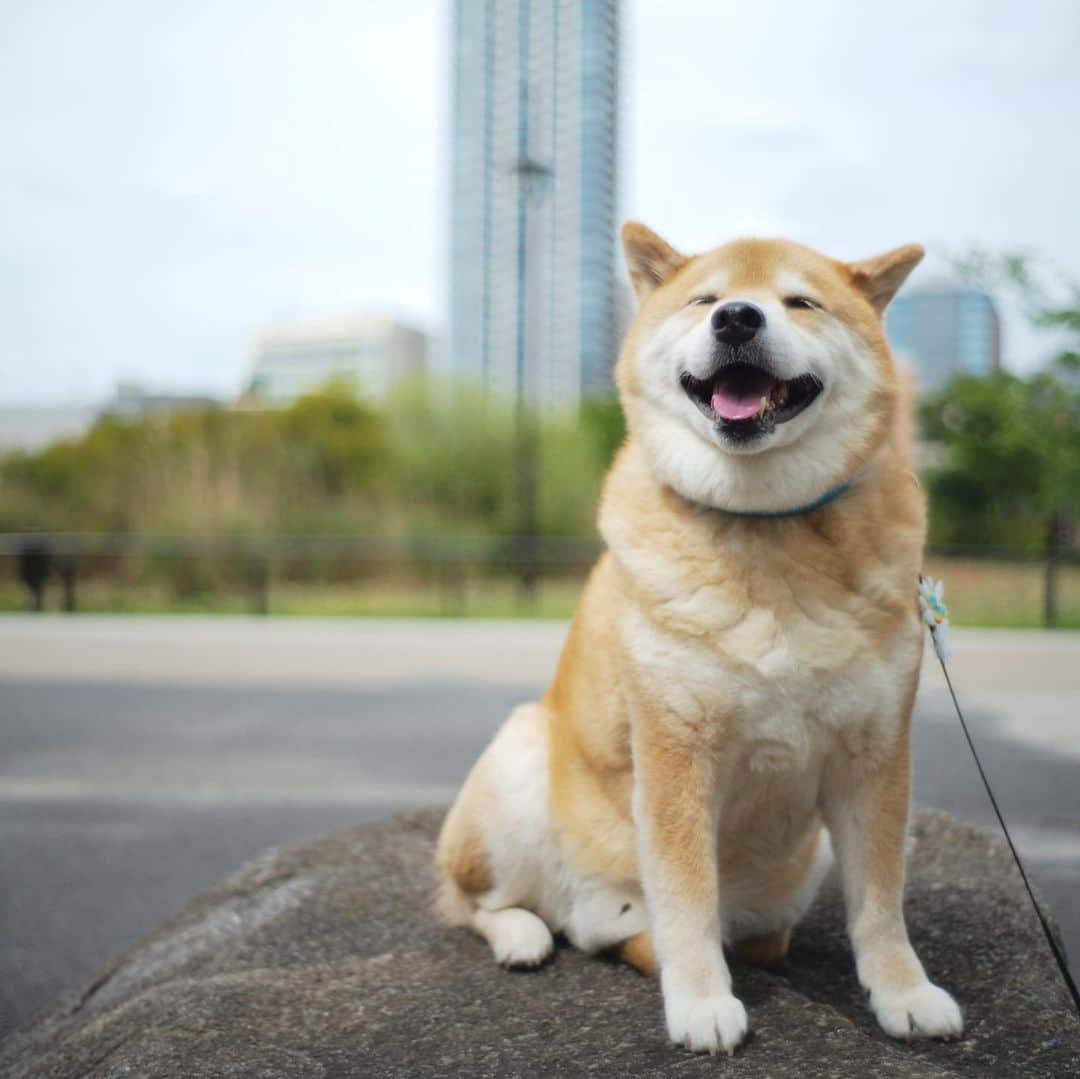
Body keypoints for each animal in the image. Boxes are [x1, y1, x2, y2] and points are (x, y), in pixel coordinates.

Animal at [434, 225, 967, 1054]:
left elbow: (880, 900)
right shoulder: (675, 749)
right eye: (706, 299)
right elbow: (687, 897)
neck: (766, 526)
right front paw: (700, 1002)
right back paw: (525, 933)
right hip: (516, 761)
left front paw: (904, 993)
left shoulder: (874, 754)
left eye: (800, 301)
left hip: (797, 866)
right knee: (475, 905)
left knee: (731, 935)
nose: (738, 318)